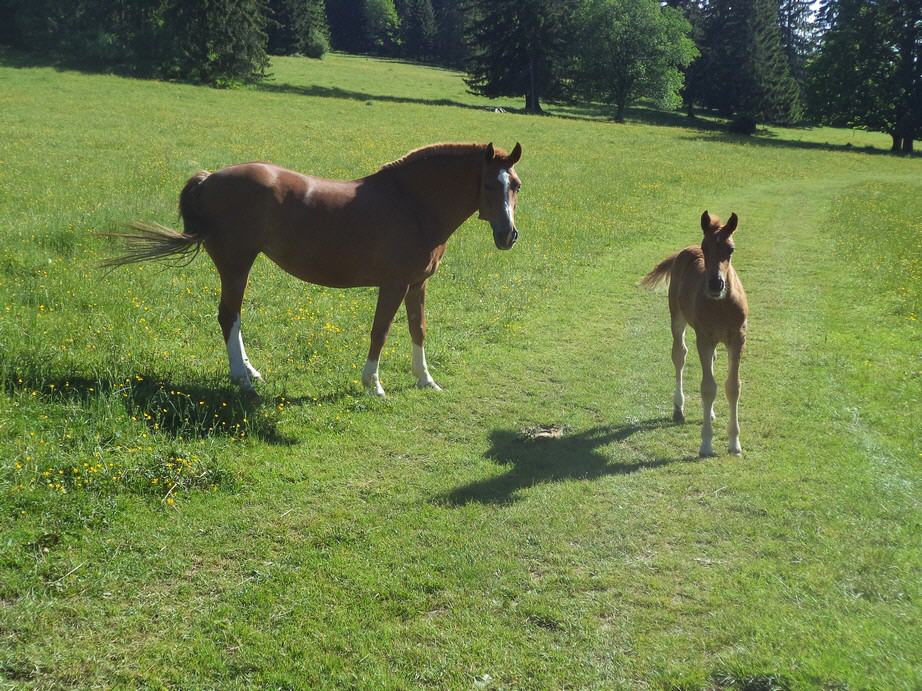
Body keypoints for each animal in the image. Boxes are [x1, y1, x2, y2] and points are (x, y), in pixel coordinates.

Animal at [104, 142, 520, 394]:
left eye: (515, 184)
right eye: (487, 184)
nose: (508, 235)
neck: (412, 203)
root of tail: (210, 179)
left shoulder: (417, 285)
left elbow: (418, 329)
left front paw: (425, 380)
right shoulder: (394, 284)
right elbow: (381, 331)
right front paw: (373, 383)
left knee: (231, 317)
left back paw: (250, 371)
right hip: (236, 263)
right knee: (228, 316)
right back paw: (242, 377)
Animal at [640, 211, 748, 460]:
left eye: (731, 249)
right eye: (705, 247)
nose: (716, 284)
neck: (721, 305)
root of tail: (684, 250)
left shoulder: (738, 339)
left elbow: (732, 387)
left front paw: (734, 443)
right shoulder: (704, 338)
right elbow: (708, 388)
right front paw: (706, 444)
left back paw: (710, 414)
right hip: (677, 319)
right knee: (679, 355)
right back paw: (678, 409)